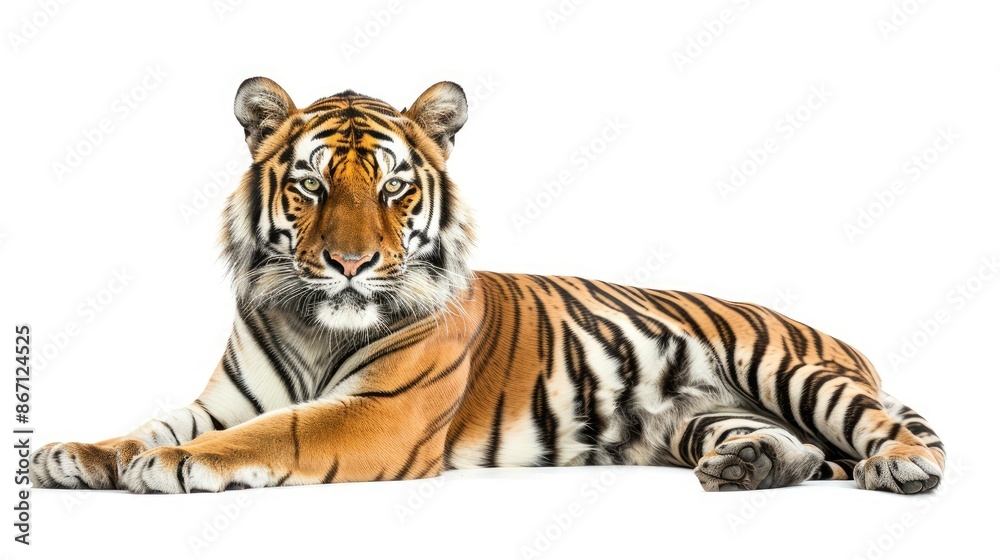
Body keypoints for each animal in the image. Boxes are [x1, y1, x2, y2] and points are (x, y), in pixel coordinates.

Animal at [29, 78, 945, 495]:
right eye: (313, 187)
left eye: (394, 189)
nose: (351, 264)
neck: (314, 324)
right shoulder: (224, 396)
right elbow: (151, 421)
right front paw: (81, 452)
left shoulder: (383, 414)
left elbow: (273, 434)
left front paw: (169, 465)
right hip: (702, 419)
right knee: (798, 450)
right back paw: (750, 467)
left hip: (787, 369)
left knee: (896, 433)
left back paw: (899, 470)